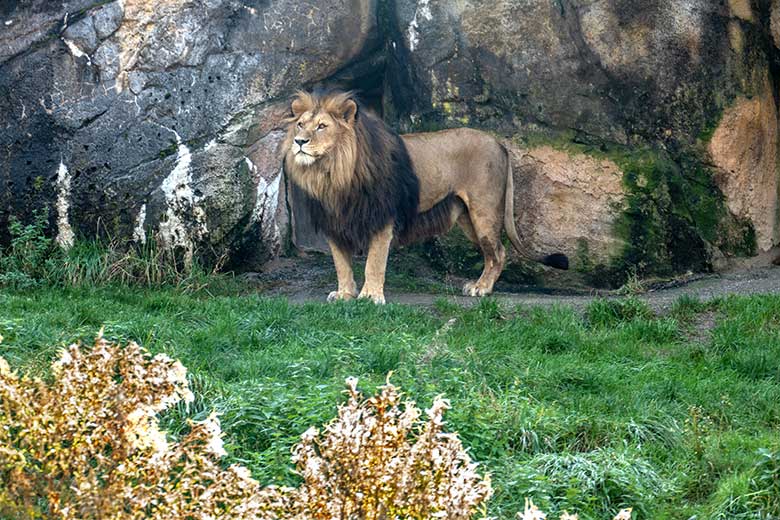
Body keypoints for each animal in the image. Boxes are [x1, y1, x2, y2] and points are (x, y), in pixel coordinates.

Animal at [282, 87, 568, 302]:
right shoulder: (335, 221)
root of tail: (499, 144)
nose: (299, 142)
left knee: (498, 252)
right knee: (491, 253)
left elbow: (374, 261)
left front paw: (370, 296)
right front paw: (344, 294)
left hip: (484, 211)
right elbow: (341, 263)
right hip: (467, 217)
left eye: (322, 126)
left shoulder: (382, 219)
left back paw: (481, 289)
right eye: (300, 125)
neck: (332, 173)